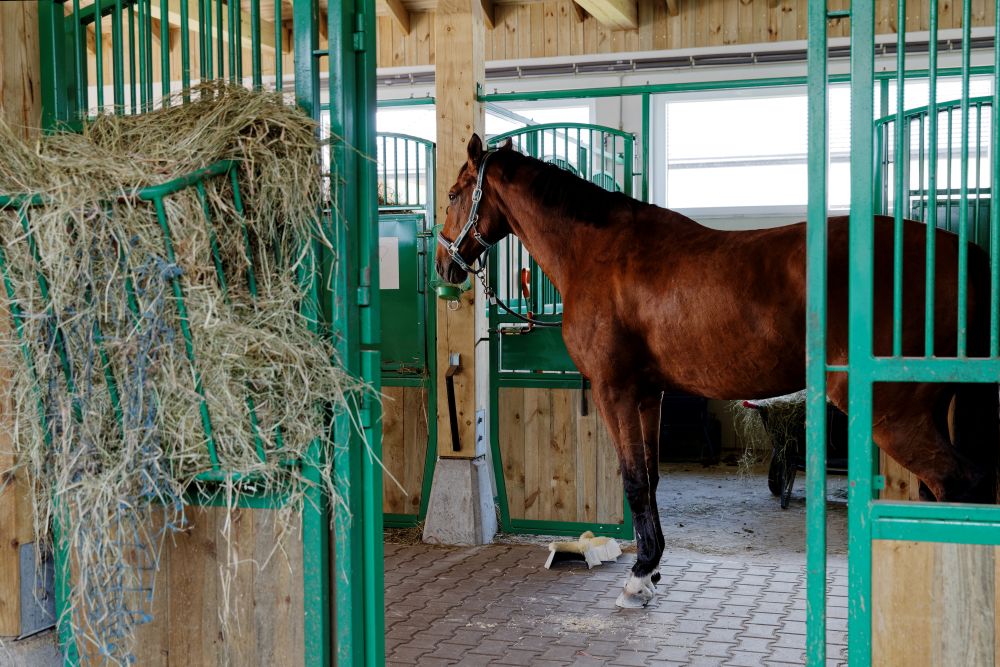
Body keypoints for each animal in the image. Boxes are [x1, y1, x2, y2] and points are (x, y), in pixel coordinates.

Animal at [435, 134, 999, 608]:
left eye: (454, 193)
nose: (445, 265)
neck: (596, 253)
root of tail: (963, 253)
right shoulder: (649, 394)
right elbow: (652, 478)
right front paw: (652, 568)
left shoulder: (615, 391)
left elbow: (634, 481)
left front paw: (636, 578)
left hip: (894, 410)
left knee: (959, 483)